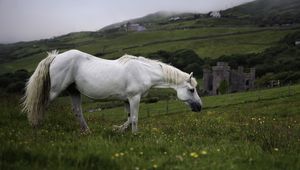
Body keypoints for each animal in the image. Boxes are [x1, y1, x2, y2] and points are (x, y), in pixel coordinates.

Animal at [22, 49, 203, 133]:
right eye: (191, 89)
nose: (199, 107)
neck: (143, 71)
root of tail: (55, 57)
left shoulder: (126, 100)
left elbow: (129, 118)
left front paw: (118, 130)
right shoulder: (134, 98)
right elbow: (135, 118)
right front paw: (135, 135)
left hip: (73, 91)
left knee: (77, 112)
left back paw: (87, 132)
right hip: (54, 91)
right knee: (39, 105)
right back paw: (36, 127)